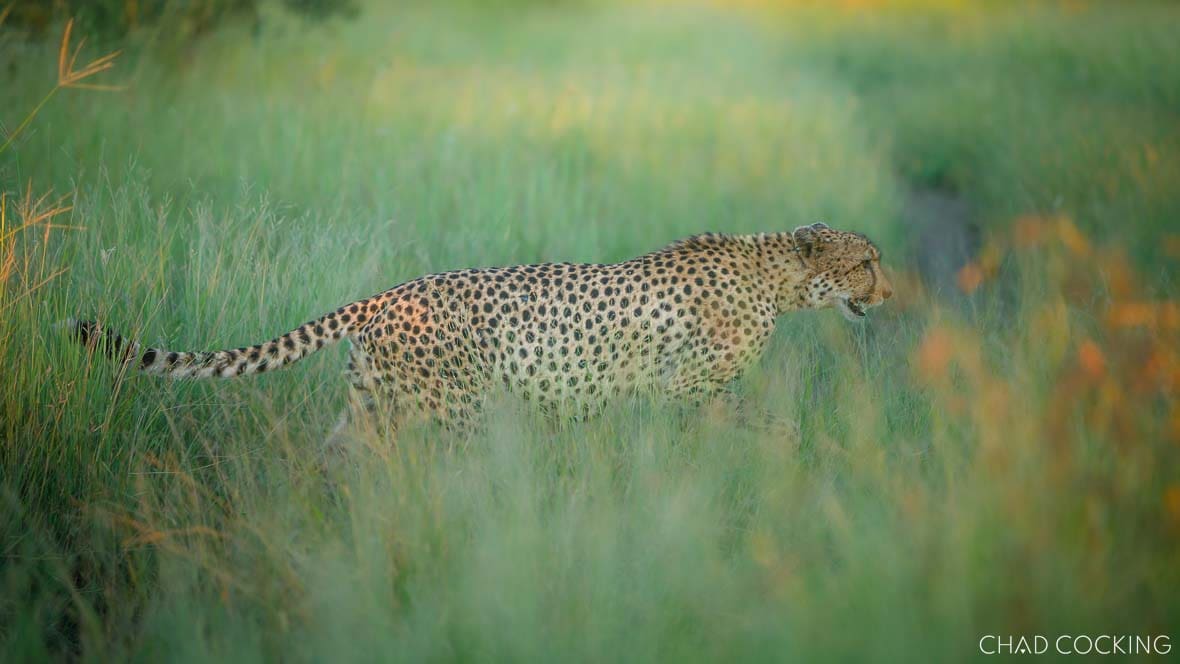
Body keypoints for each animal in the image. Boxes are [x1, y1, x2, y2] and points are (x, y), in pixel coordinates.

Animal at [70, 223, 893, 436]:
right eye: (866, 262)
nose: (887, 293)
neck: (779, 278)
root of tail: (390, 292)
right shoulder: (685, 389)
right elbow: (747, 421)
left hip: (372, 403)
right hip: (455, 409)